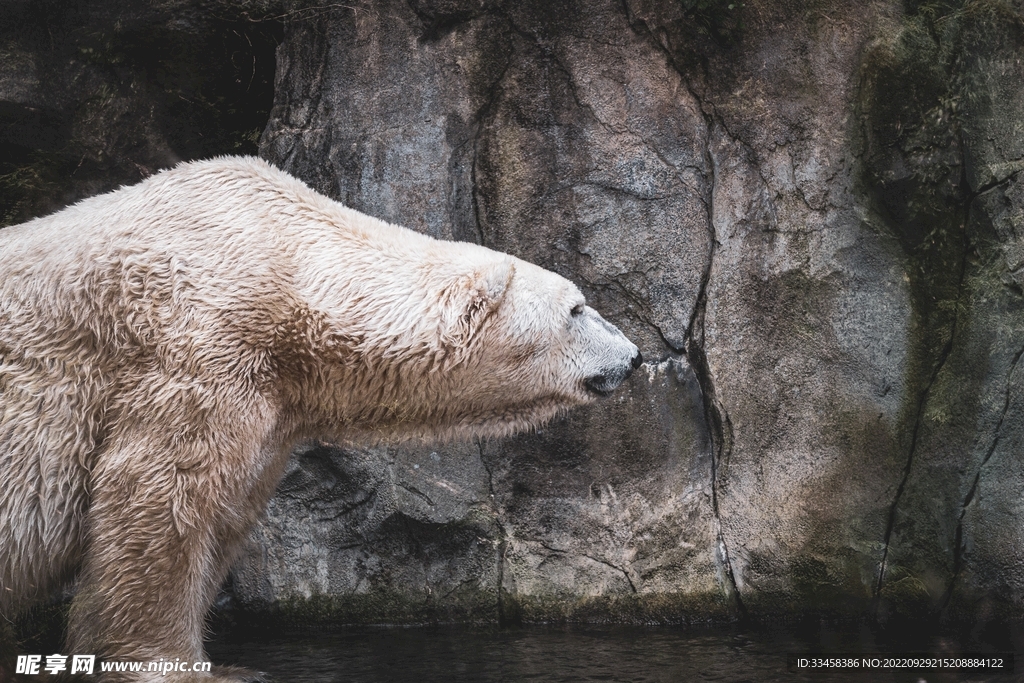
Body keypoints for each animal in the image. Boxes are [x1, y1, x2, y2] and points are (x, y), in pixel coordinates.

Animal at [0, 157, 638, 679]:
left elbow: (225, 508)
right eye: (577, 308)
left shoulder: (270, 408)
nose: (632, 357)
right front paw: (181, 666)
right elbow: (157, 495)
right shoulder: (195, 348)